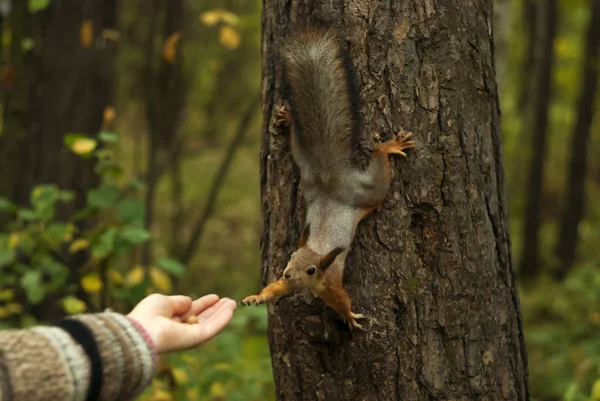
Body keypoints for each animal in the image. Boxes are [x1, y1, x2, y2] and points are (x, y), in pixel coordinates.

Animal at [241, 27, 414, 328]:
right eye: (291, 257)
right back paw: (289, 120)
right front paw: (257, 297)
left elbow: (341, 300)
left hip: (368, 190)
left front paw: (349, 316)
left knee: (379, 170)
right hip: (304, 161)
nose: (287, 273)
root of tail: (330, 175)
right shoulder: (289, 282)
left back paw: (388, 147)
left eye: (311, 270)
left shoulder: (332, 283)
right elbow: (275, 289)